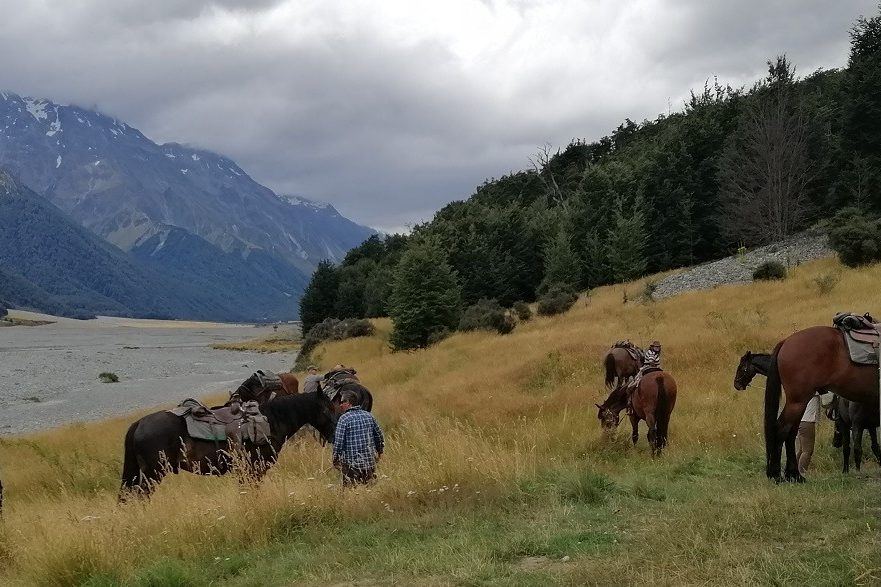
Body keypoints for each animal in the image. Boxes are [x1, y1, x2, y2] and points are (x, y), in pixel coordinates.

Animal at [118, 390, 336, 500]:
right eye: (328, 409)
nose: (335, 434)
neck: (271, 421)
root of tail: (139, 424)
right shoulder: (255, 469)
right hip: (153, 474)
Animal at [748, 326, 880, 482]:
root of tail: (786, 341)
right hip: (797, 401)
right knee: (782, 429)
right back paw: (776, 474)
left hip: (800, 402)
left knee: (791, 433)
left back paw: (795, 474)